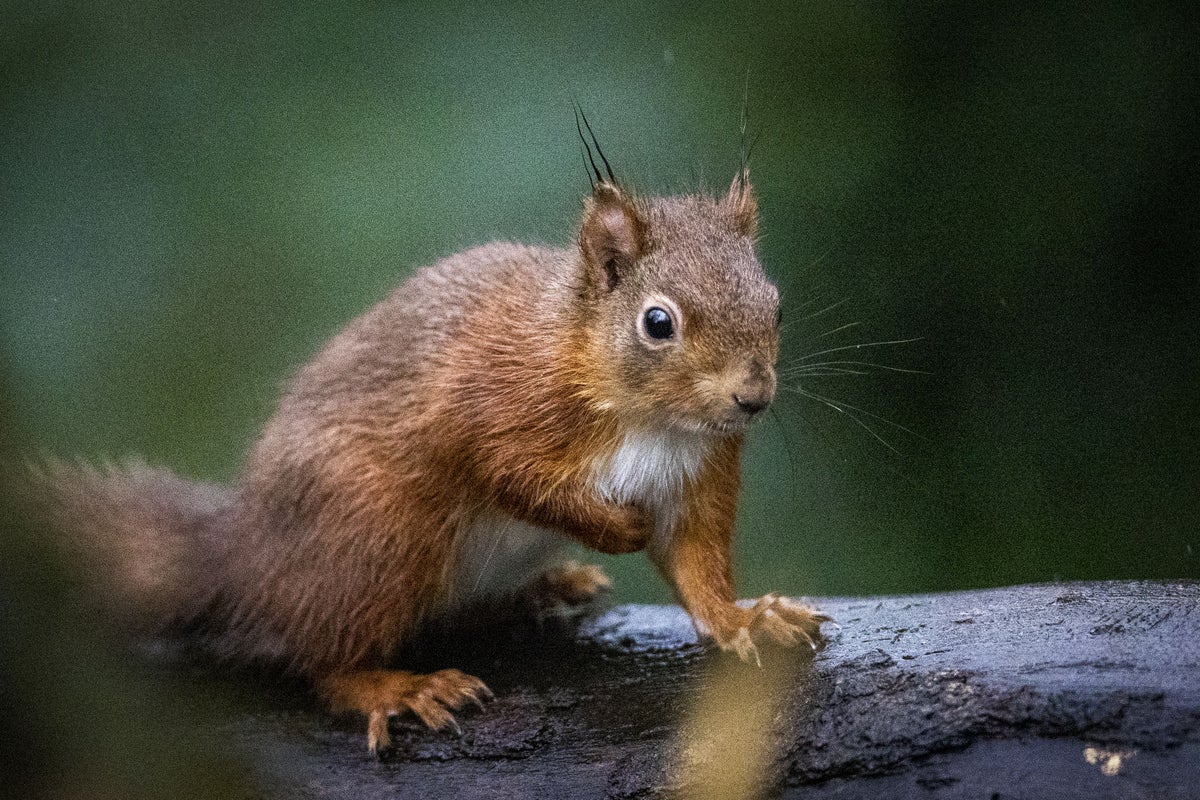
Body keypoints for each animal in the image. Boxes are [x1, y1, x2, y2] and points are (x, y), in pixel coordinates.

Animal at [32, 128, 830, 753]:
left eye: (777, 306)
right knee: (317, 657)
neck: (650, 419)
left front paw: (745, 618)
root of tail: (245, 559)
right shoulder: (484, 406)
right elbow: (507, 474)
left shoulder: (699, 475)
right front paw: (613, 528)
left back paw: (542, 589)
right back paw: (390, 687)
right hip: (379, 535)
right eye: (657, 323)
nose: (753, 399)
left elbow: (697, 565)